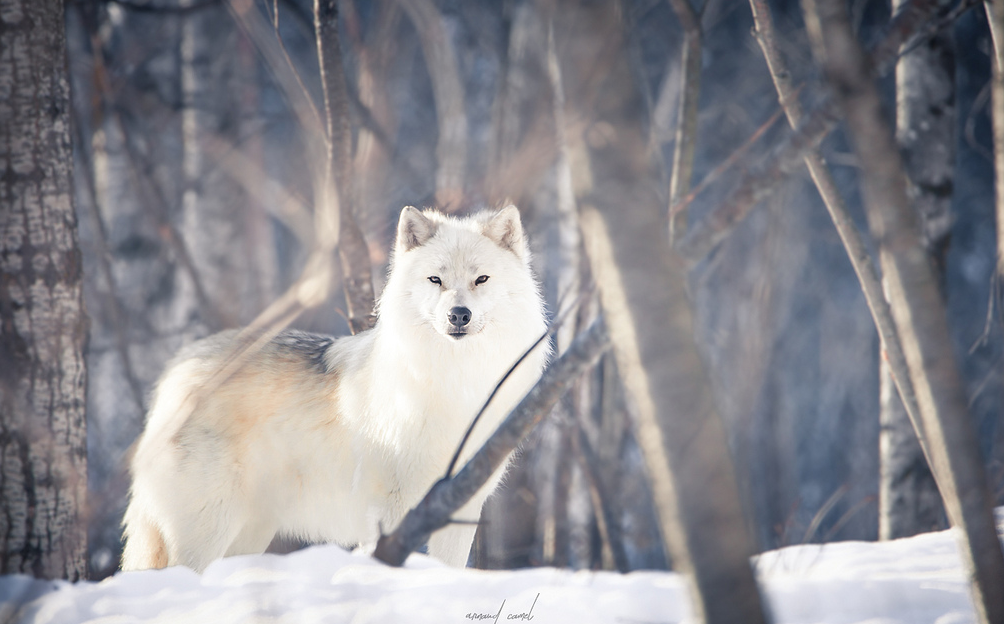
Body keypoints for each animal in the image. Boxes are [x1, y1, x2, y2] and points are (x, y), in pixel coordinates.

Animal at [122, 205, 554, 573]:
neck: (456, 383)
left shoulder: (460, 508)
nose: (458, 315)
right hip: (208, 530)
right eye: (436, 279)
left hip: (247, 535)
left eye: (481, 279)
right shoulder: (393, 510)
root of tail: (176, 370)